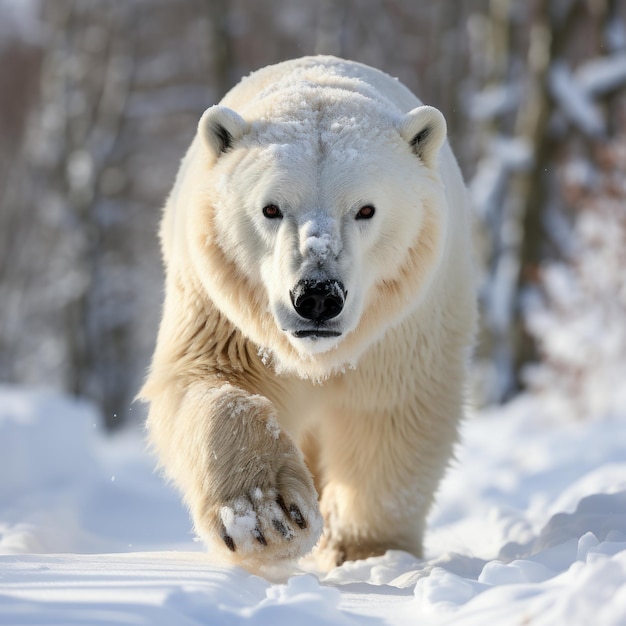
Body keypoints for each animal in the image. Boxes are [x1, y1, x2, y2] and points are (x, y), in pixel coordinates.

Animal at [140, 56, 472, 568]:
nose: (317, 296)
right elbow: (209, 380)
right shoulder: (222, 312)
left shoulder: (401, 332)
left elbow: (390, 416)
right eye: (271, 208)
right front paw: (268, 518)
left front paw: (364, 548)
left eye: (366, 209)